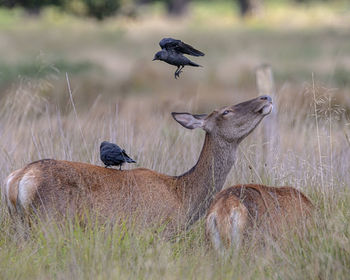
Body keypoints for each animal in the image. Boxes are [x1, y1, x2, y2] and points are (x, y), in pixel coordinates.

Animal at [1, 95, 274, 236]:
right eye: (226, 111)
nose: (266, 97)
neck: (183, 197)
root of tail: (19, 178)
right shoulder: (160, 231)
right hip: (49, 221)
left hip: (19, 224)